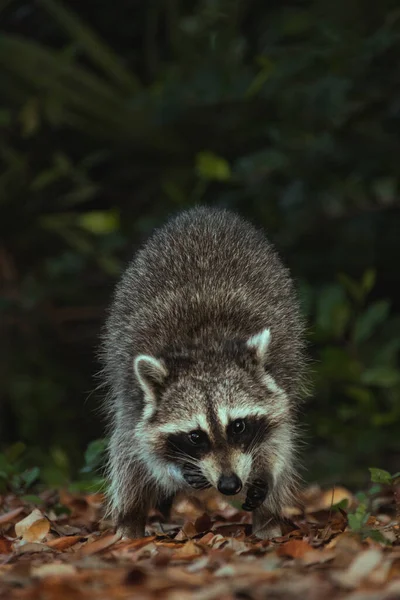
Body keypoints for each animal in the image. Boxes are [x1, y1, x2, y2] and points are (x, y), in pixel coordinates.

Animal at [101, 206, 308, 540]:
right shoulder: (130, 391)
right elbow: (141, 448)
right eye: (195, 436)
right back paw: (129, 523)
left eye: (238, 426)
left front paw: (266, 473)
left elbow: (280, 439)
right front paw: (171, 471)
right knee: (126, 460)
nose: (230, 485)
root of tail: (204, 211)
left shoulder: (282, 374)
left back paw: (268, 524)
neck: (204, 352)